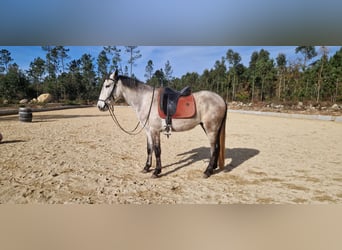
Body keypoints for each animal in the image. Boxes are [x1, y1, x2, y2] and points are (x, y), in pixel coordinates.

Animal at [97, 70, 227, 178]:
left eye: (107, 86)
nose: (100, 106)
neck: (145, 100)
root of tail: (221, 99)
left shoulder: (155, 130)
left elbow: (157, 150)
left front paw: (156, 171)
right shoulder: (148, 131)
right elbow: (149, 149)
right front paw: (146, 168)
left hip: (211, 129)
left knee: (214, 148)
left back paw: (207, 171)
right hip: (210, 128)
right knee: (217, 147)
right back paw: (213, 167)